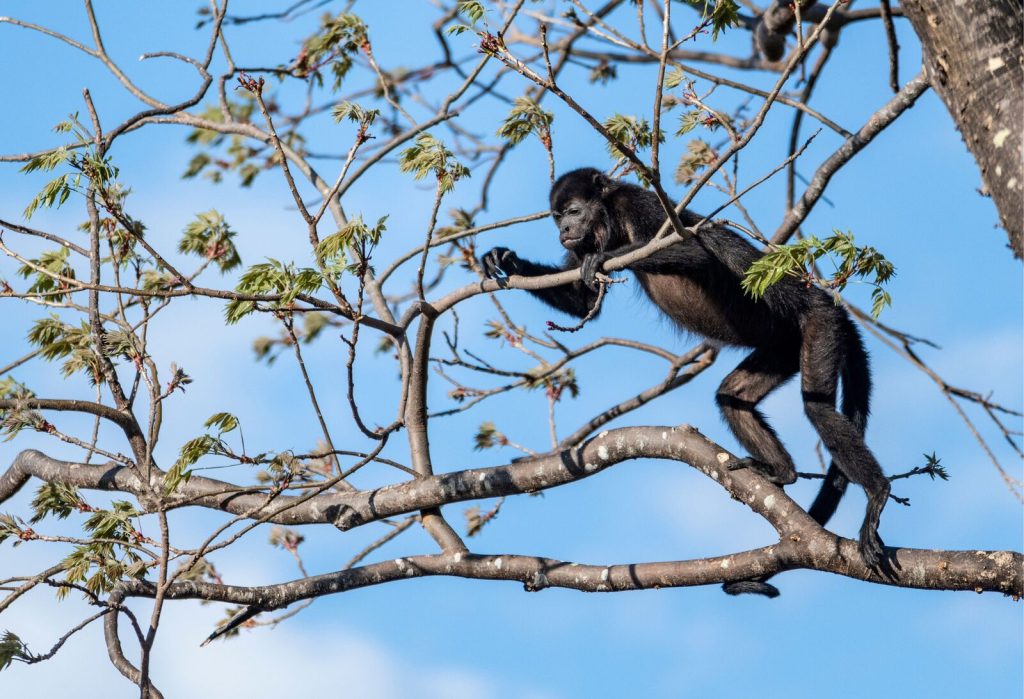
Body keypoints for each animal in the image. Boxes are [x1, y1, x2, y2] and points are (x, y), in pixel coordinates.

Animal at [482, 168, 891, 596]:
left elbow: (694, 250)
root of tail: (831, 305)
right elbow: (582, 301)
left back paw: (877, 492)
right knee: (731, 397)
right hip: (784, 345)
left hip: (818, 327)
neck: (610, 220)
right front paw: (506, 260)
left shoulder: (641, 206)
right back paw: (781, 472)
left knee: (816, 406)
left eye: (573, 211)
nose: (563, 229)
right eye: (557, 216)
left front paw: (605, 258)